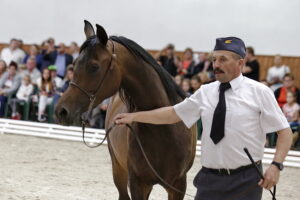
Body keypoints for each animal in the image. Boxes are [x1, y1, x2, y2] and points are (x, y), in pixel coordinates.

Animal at [55, 20, 197, 200]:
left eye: (94, 67)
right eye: (74, 65)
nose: (61, 111)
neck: (163, 127)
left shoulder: (178, 186)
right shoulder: (137, 183)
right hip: (119, 170)